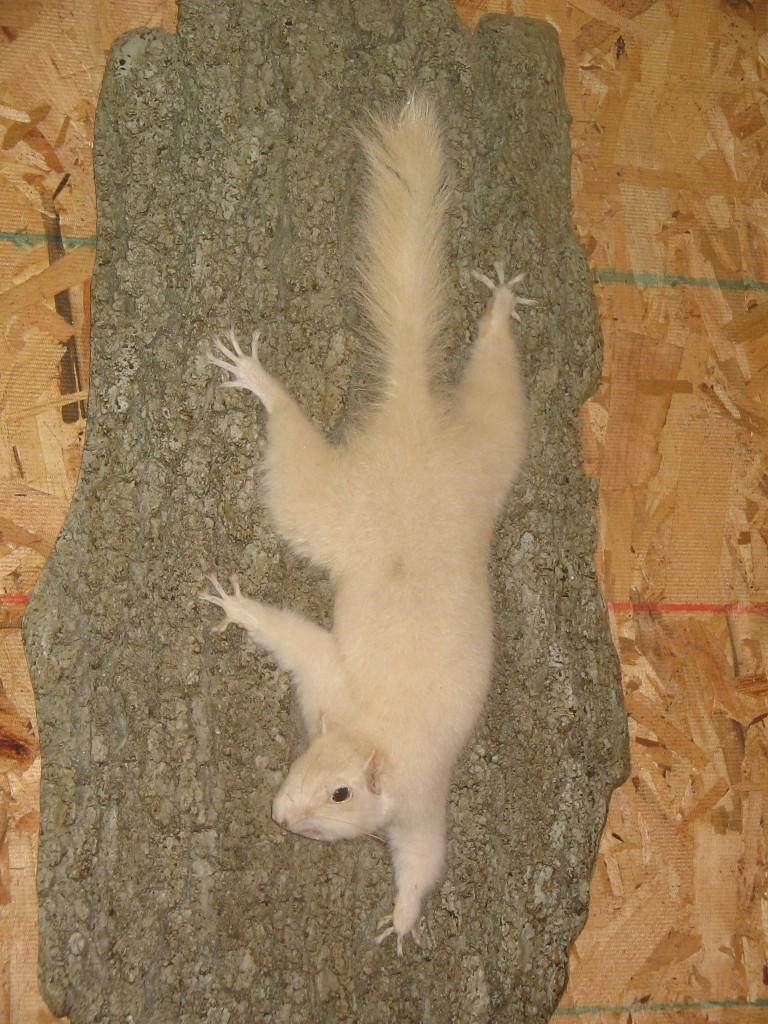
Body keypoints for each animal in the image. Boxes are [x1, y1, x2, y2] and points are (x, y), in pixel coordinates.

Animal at [201, 95, 535, 955]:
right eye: (309, 758)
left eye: (342, 795)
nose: (281, 814)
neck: (372, 725)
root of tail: (414, 422)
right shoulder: (330, 678)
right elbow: (292, 634)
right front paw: (235, 606)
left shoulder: (418, 796)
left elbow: (424, 857)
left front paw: (402, 918)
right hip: (368, 497)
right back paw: (266, 381)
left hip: (486, 458)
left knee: (494, 385)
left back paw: (497, 311)